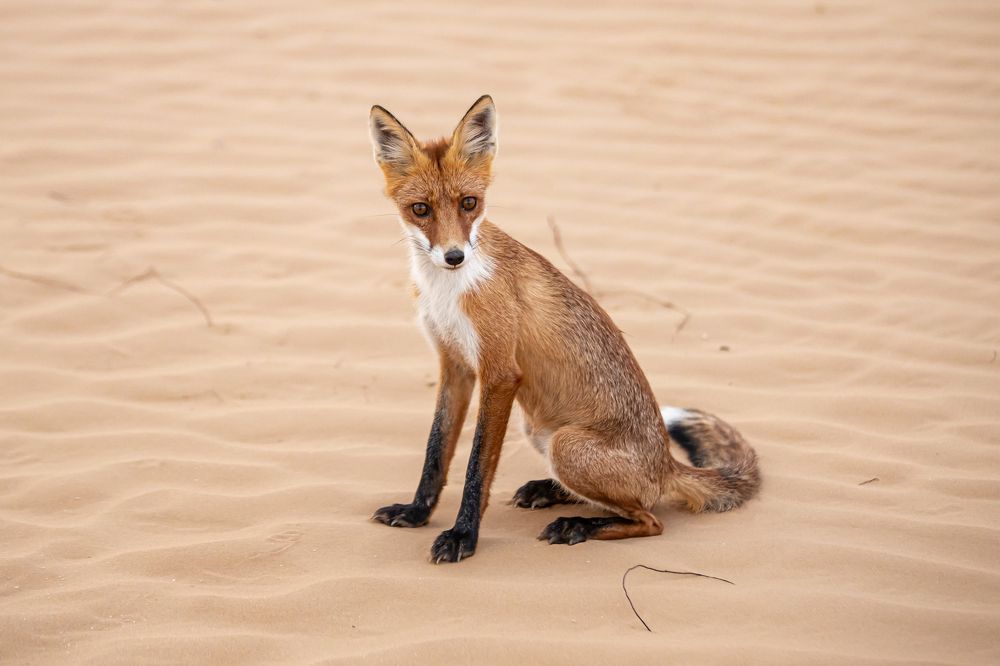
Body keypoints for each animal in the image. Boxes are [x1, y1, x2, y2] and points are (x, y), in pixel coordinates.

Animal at [368, 95, 760, 563]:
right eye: (420, 210)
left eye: (469, 203)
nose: (454, 256)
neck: (449, 290)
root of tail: (666, 463)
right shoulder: (455, 366)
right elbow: (436, 453)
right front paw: (417, 512)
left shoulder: (500, 374)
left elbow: (477, 468)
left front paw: (463, 535)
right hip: (540, 431)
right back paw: (550, 492)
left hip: (566, 445)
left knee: (649, 518)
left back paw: (576, 524)